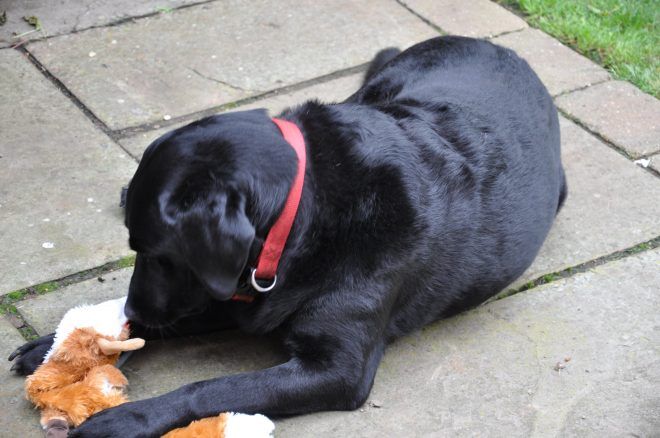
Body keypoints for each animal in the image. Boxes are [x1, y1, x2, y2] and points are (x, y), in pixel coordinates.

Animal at [9, 36, 568, 436]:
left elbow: (211, 387)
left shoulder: (336, 369)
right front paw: (56, 347)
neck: (305, 212)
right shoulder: (235, 292)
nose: (137, 308)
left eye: (159, 254)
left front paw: (130, 418)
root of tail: (504, 50)